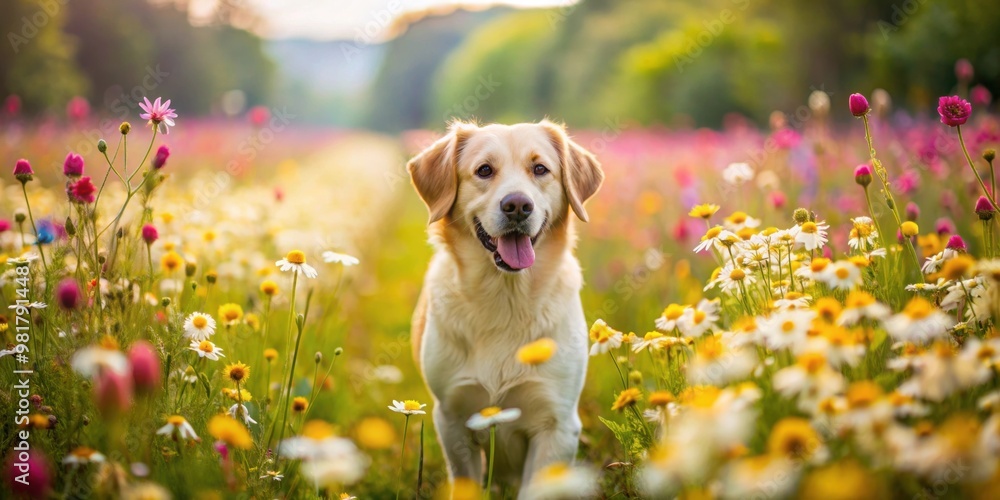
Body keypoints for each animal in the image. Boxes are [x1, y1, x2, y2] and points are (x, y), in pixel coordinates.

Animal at [404, 120, 600, 492]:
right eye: (484, 170)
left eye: (540, 169)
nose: (518, 205)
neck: (505, 298)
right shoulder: (452, 419)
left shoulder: (557, 425)